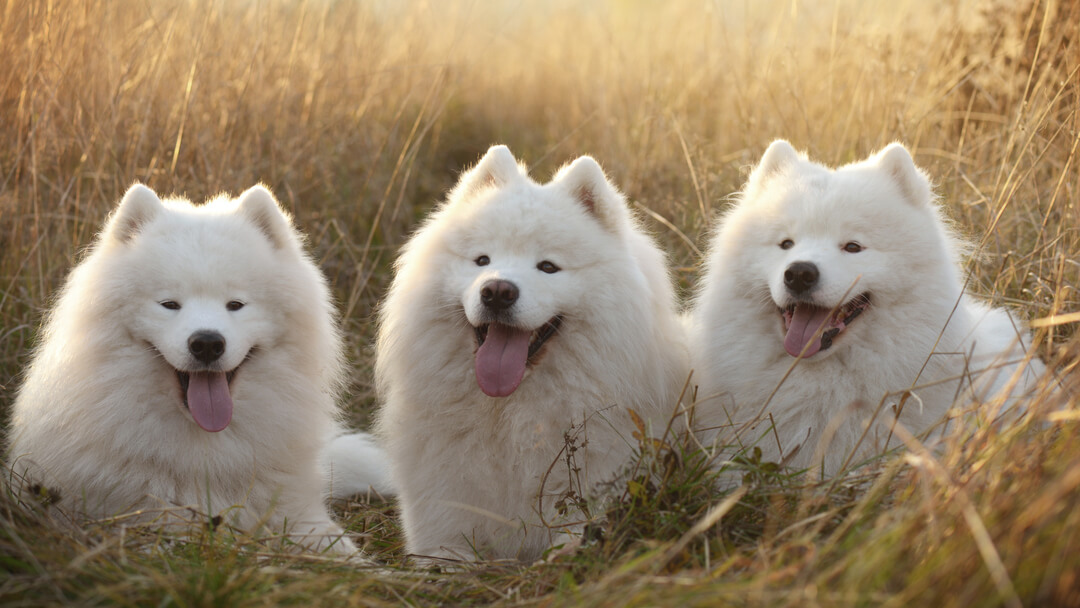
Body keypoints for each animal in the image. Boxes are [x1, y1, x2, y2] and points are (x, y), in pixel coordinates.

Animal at [375, 144, 686, 565]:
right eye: (482, 260)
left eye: (548, 267)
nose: (497, 291)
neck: (511, 417)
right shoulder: (441, 515)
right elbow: (446, 553)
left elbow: (574, 533)